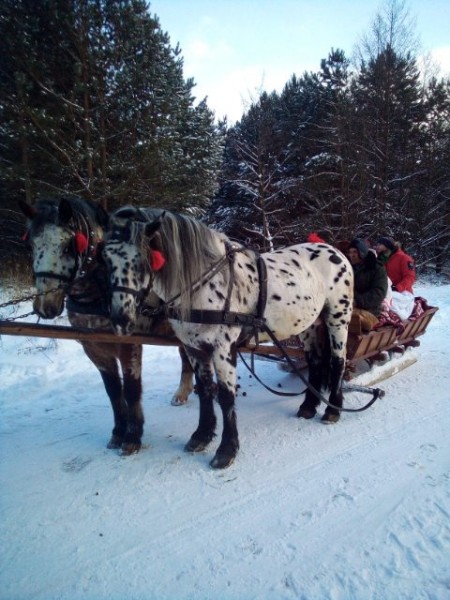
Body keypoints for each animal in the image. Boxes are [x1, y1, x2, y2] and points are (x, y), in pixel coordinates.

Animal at [19, 197, 193, 454]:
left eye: (68, 246)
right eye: (31, 245)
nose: (45, 306)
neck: (101, 290)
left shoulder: (130, 344)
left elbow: (131, 389)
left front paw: (133, 436)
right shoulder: (93, 347)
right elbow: (113, 391)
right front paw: (118, 432)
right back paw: (184, 392)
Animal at [103, 206, 356, 468]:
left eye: (142, 259)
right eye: (105, 258)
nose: (120, 319)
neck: (204, 284)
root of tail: (334, 250)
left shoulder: (223, 348)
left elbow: (225, 396)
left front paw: (226, 449)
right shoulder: (194, 348)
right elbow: (205, 391)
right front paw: (201, 436)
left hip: (338, 318)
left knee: (337, 361)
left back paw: (333, 410)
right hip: (307, 324)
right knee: (315, 361)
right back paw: (308, 406)